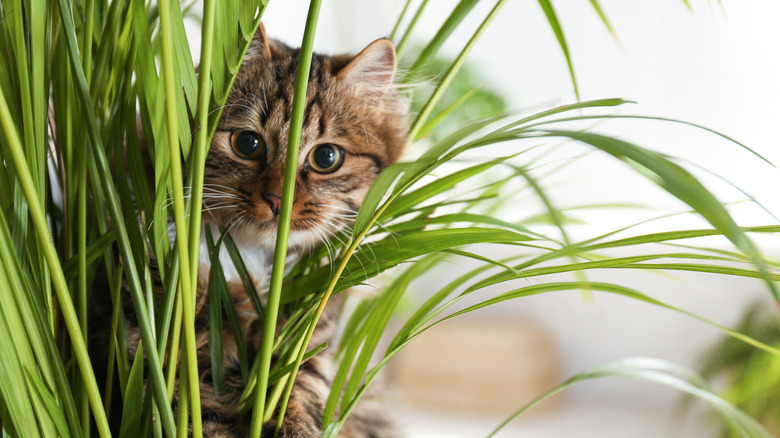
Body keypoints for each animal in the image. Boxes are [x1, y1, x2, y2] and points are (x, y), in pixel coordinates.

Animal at [95, 23, 412, 438]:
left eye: (326, 157)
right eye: (248, 143)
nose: (278, 199)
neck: (248, 261)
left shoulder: (305, 348)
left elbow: (299, 395)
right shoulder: (158, 351)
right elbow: (199, 417)